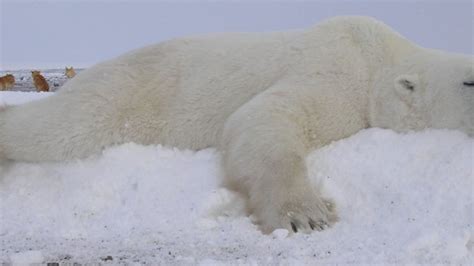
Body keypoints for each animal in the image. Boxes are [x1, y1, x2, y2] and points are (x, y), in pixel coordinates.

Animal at [0, 16, 474, 233]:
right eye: (470, 80)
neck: (379, 57)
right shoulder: (338, 71)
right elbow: (263, 117)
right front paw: (307, 214)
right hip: (122, 95)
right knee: (60, 127)